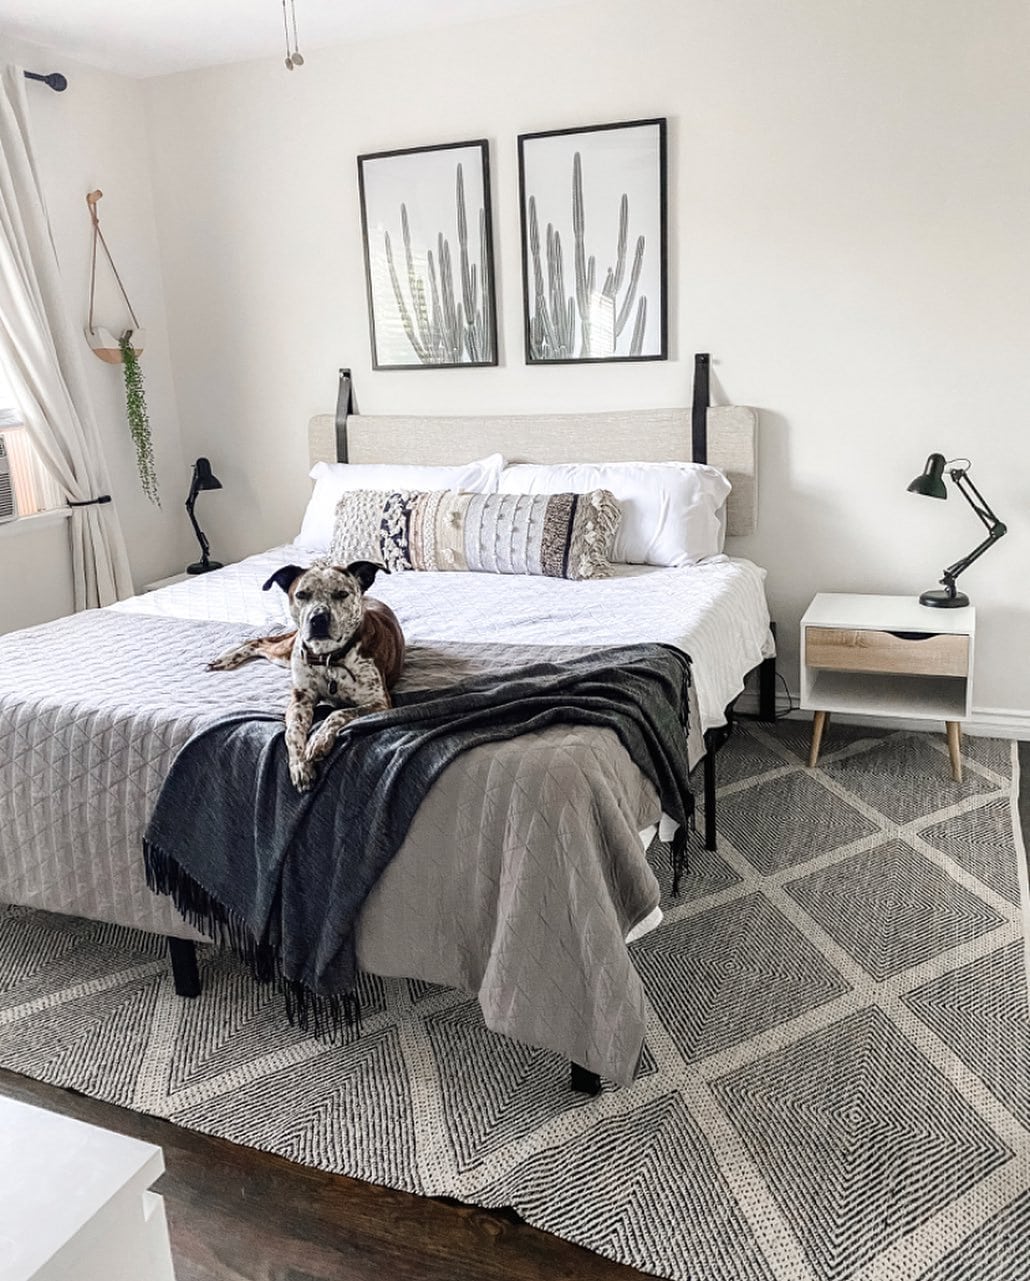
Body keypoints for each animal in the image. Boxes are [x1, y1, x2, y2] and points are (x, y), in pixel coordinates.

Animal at [208, 560, 405, 791]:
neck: (328, 658)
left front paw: (319, 741)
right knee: (259, 642)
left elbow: (338, 713)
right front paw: (300, 765)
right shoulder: (301, 699)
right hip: (287, 650)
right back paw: (225, 658)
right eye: (301, 594)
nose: (318, 618)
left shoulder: (380, 703)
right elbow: (292, 732)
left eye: (342, 594)